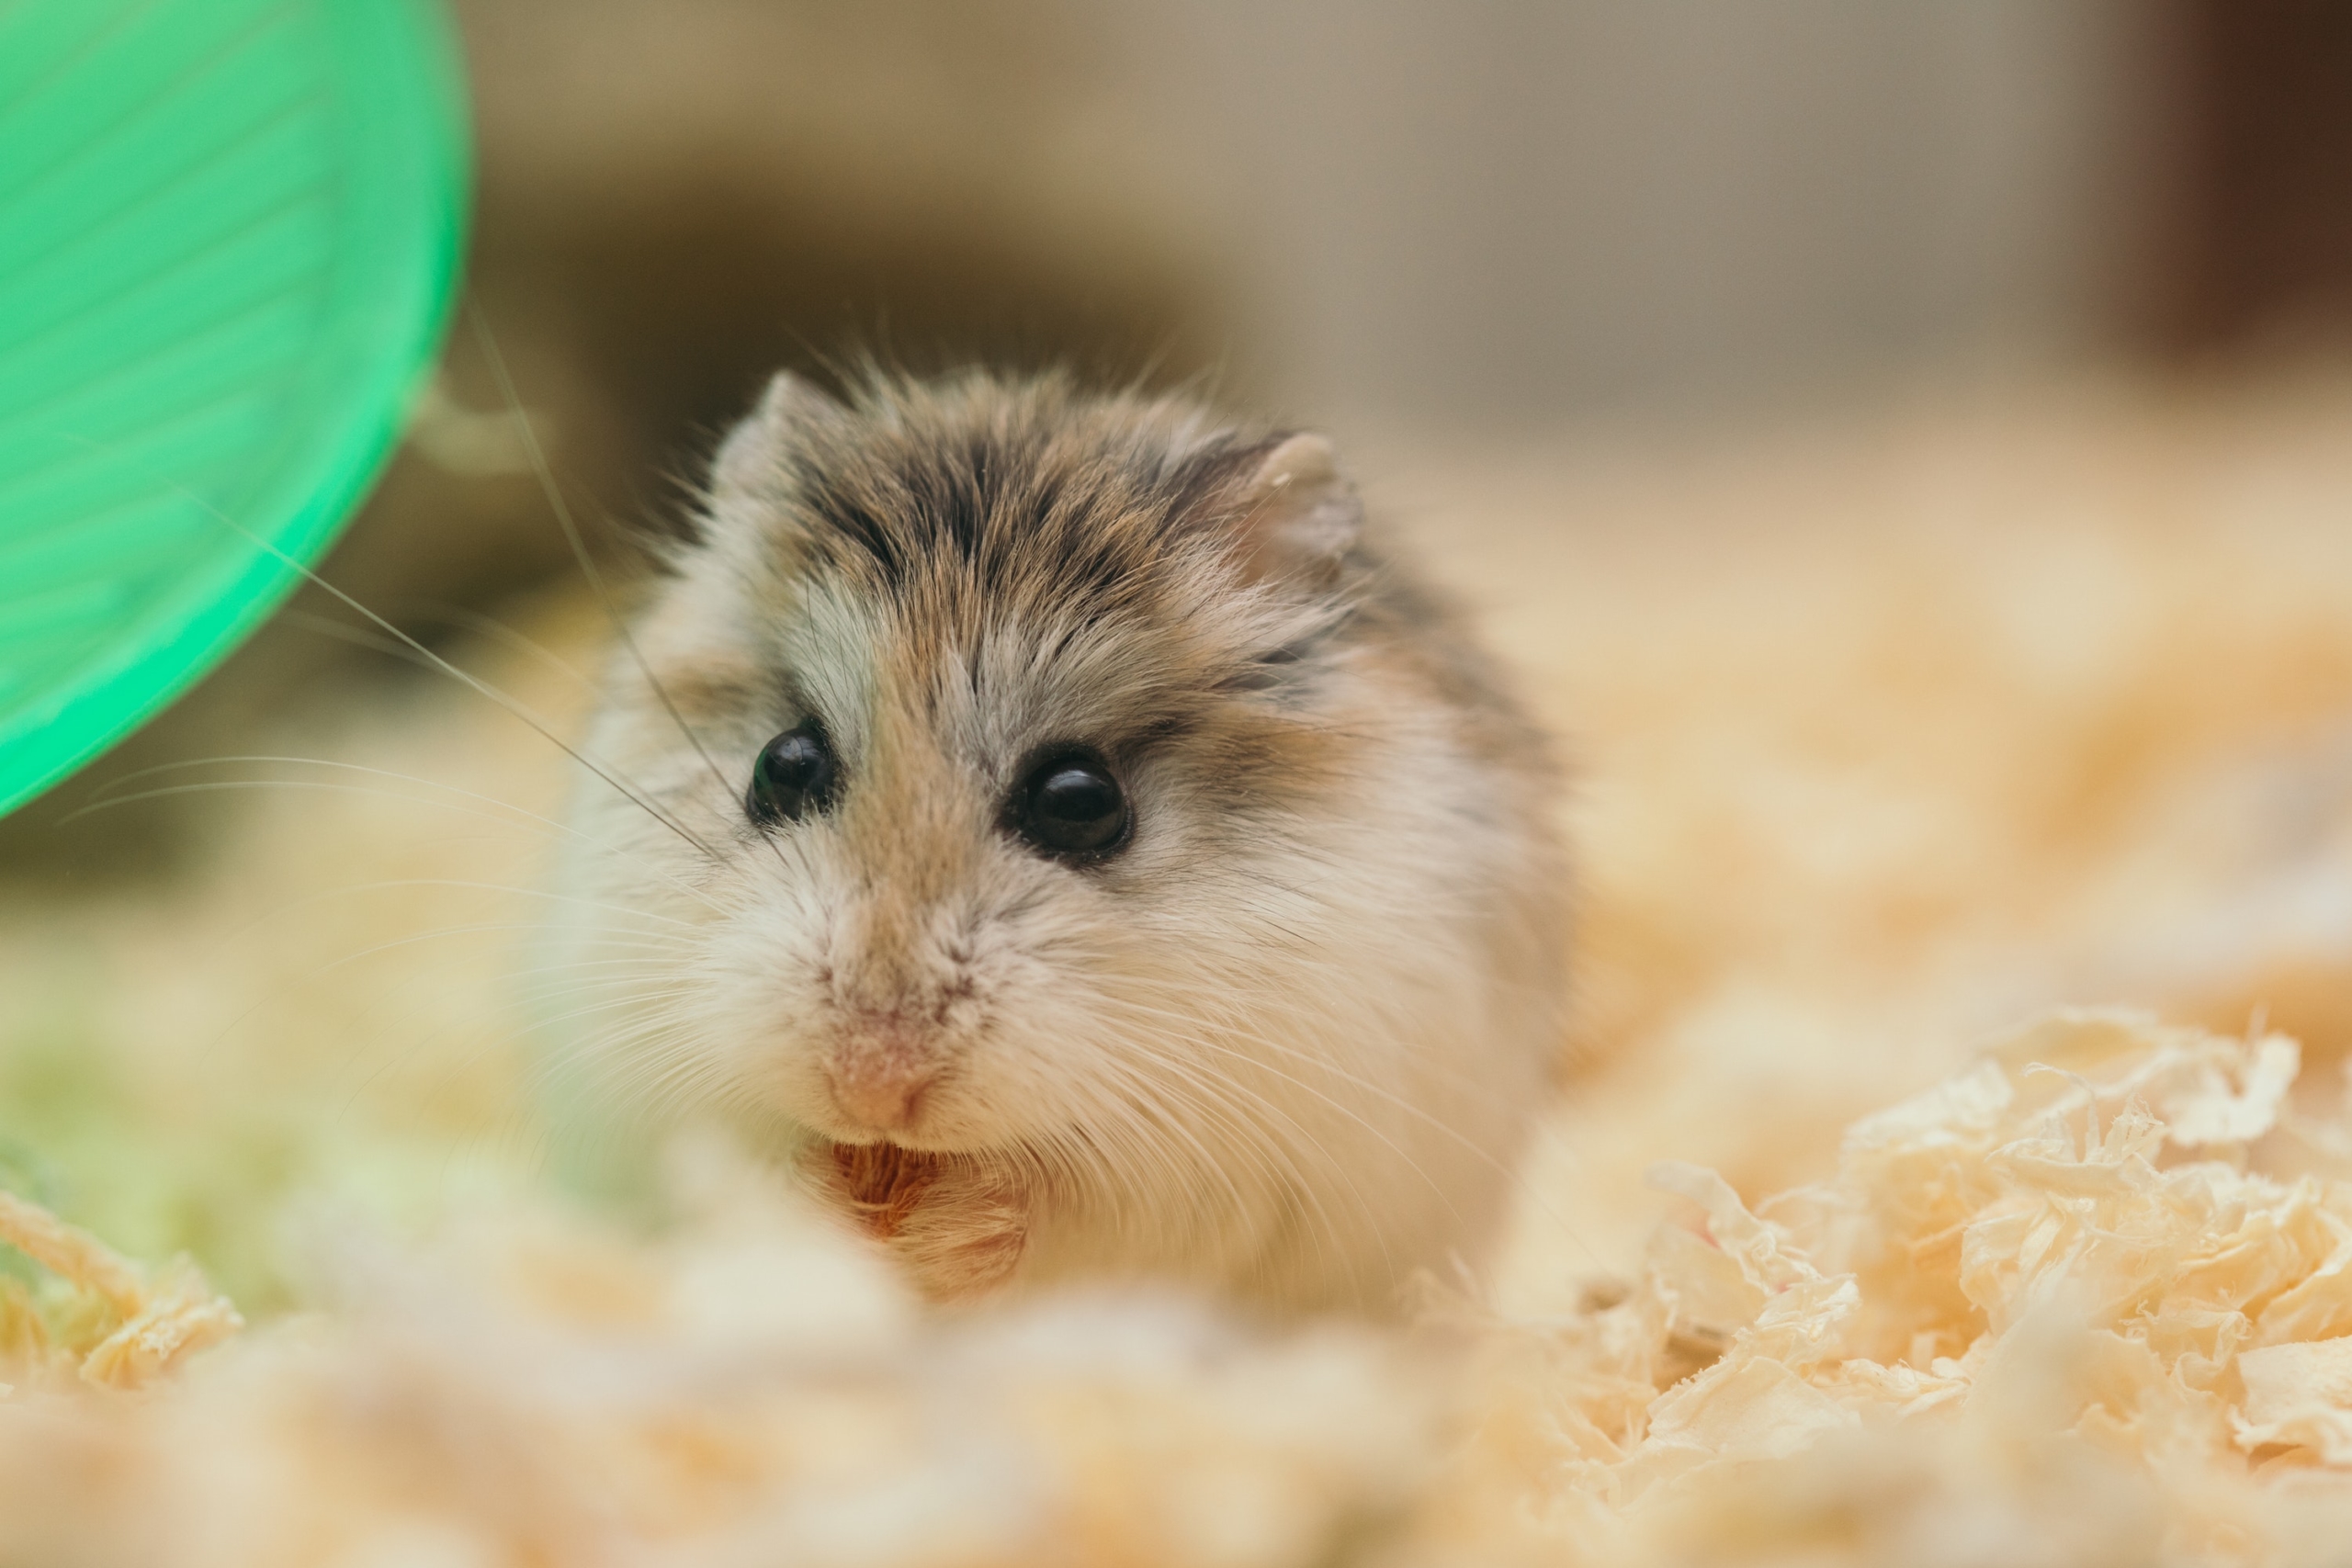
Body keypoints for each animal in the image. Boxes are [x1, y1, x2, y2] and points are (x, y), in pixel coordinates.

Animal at [557, 368, 1569, 1318]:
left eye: (1080, 802)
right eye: (784, 764)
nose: (873, 1088)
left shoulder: (1237, 1161)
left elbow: (1066, 1210)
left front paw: (942, 1237)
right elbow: (729, 1167)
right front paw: (827, 1210)